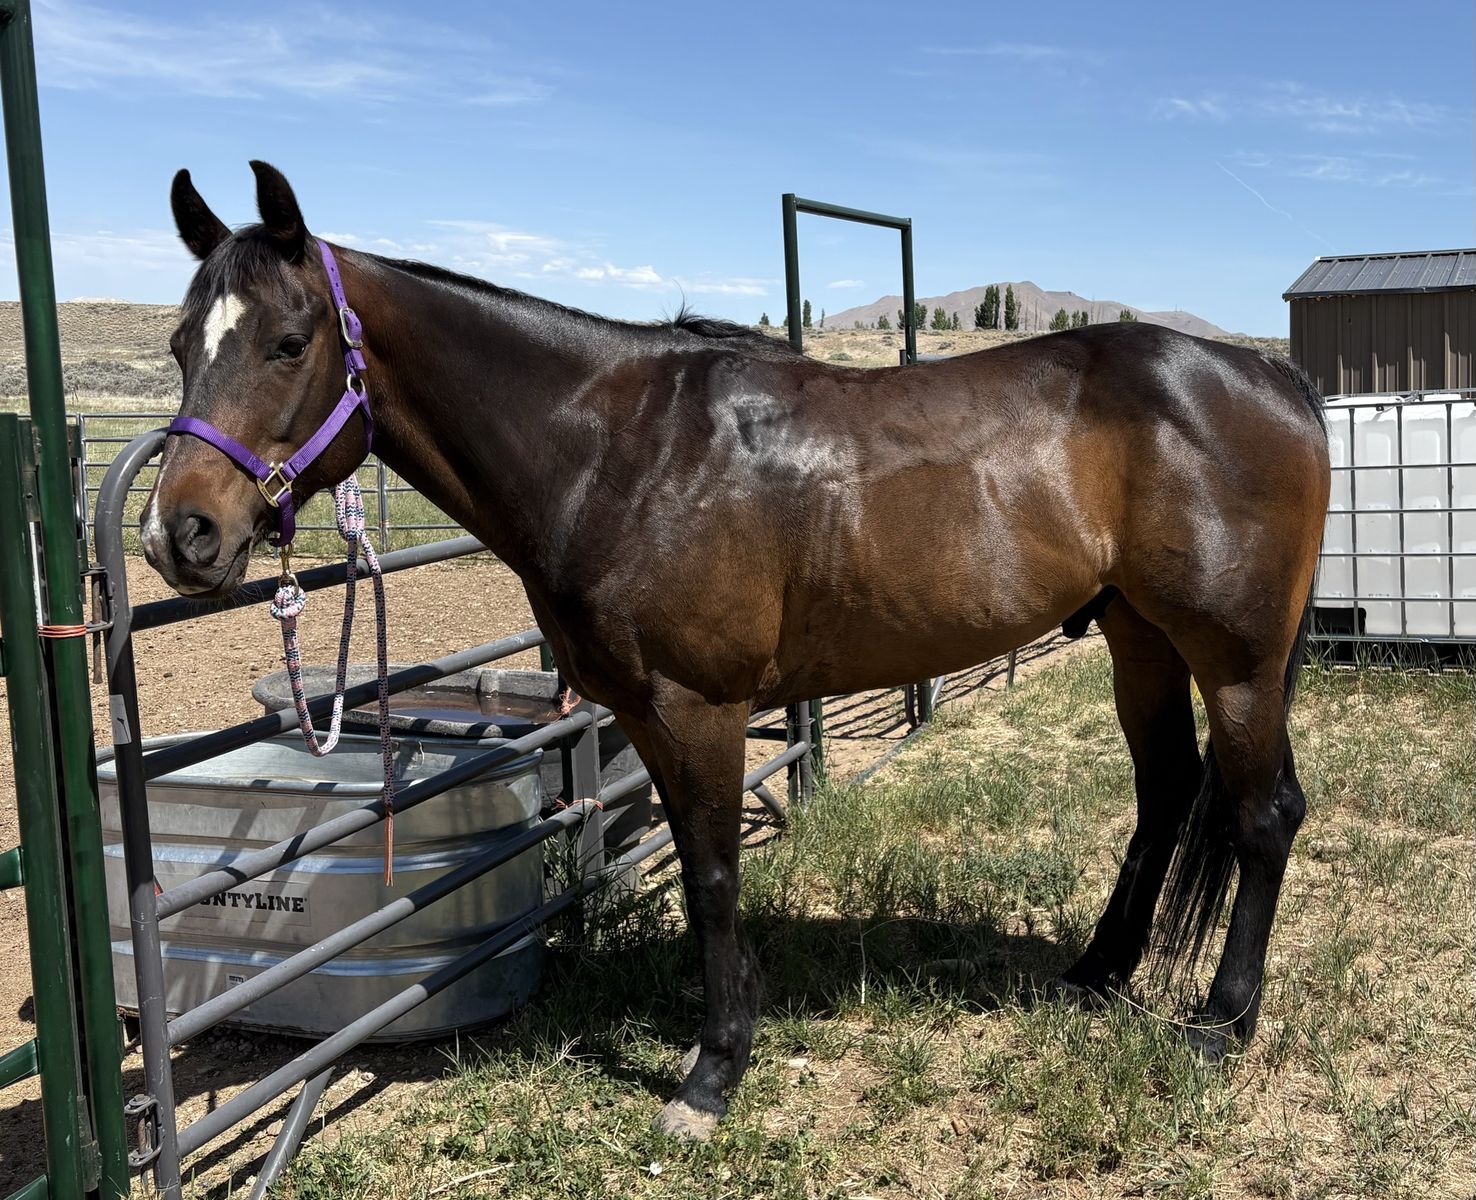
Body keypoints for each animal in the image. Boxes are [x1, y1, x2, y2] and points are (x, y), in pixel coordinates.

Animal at [143, 161, 1330, 1139]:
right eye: (182, 344)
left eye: (290, 341)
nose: (178, 535)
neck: (619, 449)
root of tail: (1275, 382)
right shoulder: (646, 715)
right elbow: (693, 860)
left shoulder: (699, 708)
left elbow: (712, 876)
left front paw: (712, 1075)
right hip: (1138, 636)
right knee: (1166, 793)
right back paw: (1097, 972)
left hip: (1235, 663)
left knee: (1264, 814)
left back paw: (1220, 1023)